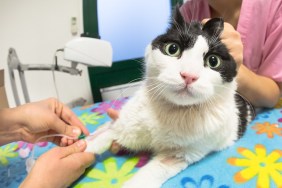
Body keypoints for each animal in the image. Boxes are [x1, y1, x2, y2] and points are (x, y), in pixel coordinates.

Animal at [85, 5, 254, 187]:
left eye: (213, 61)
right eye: (172, 49)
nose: (189, 75)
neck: (171, 112)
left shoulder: (180, 154)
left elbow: (149, 175)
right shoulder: (124, 126)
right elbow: (94, 141)